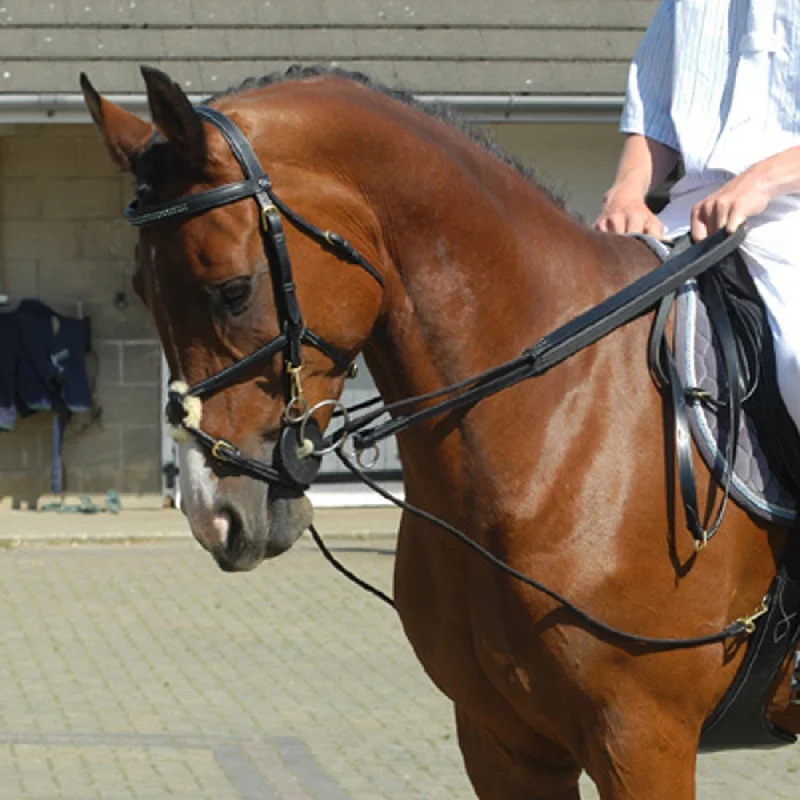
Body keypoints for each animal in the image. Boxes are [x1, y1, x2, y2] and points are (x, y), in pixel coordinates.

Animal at [84, 65, 796, 796]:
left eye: (232, 289)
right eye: (142, 290)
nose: (214, 515)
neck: (558, 430)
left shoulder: (643, 738)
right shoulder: (499, 740)